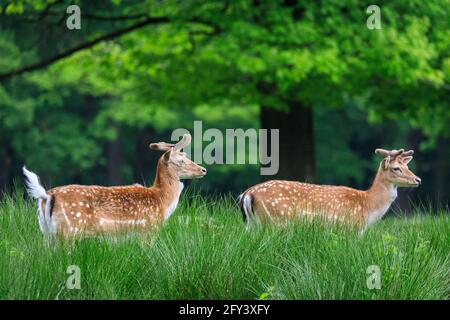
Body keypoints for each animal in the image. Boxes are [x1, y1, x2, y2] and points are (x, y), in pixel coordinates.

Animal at [23, 133, 207, 238]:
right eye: (181, 161)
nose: (203, 170)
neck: (161, 201)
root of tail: (47, 196)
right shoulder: (148, 229)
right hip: (69, 228)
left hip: (46, 230)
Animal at [239, 149, 422, 231]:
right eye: (396, 168)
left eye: (407, 166)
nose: (418, 180)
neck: (367, 206)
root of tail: (247, 194)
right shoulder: (350, 228)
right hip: (276, 221)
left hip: (251, 224)